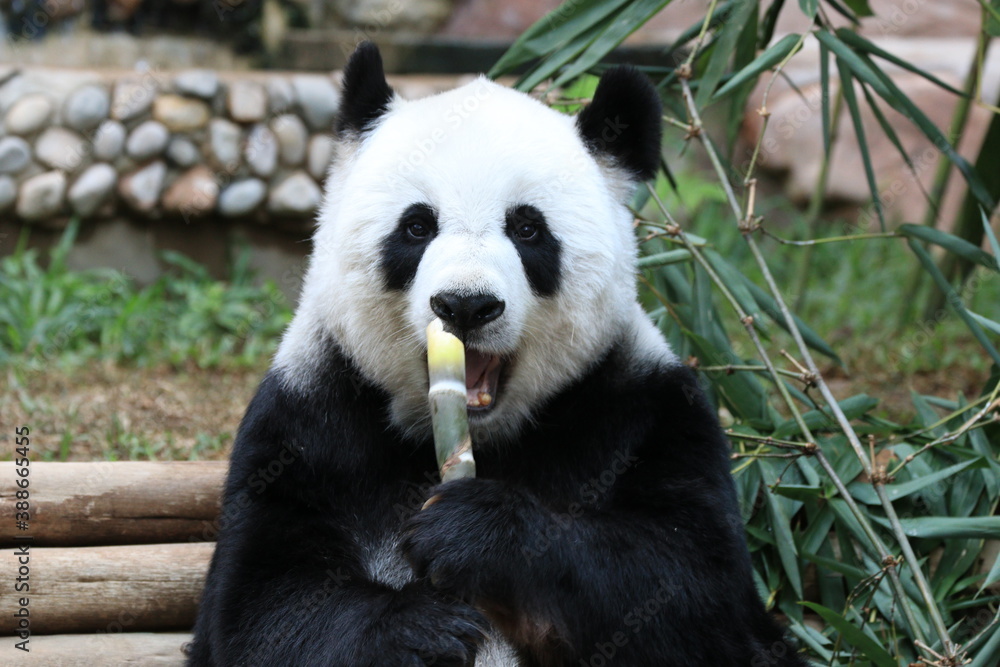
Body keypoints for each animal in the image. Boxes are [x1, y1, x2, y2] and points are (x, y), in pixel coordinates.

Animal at [188, 42, 805, 667]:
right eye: (417, 226)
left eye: (528, 229)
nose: (465, 305)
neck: (484, 437)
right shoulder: (307, 418)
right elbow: (265, 608)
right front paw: (422, 628)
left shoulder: (645, 408)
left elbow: (691, 585)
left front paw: (474, 532)